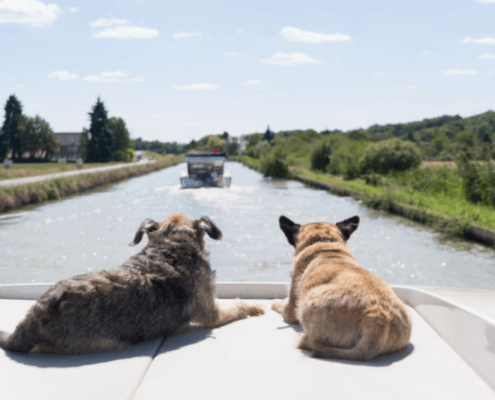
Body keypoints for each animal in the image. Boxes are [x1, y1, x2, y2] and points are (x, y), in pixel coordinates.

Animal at [274, 216, 412, 362]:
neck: (325, 245)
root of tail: (378, 317)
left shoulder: (291, 308)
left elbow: (282, 305)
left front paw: (276, 302)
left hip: (307, 305)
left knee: (315, 342)